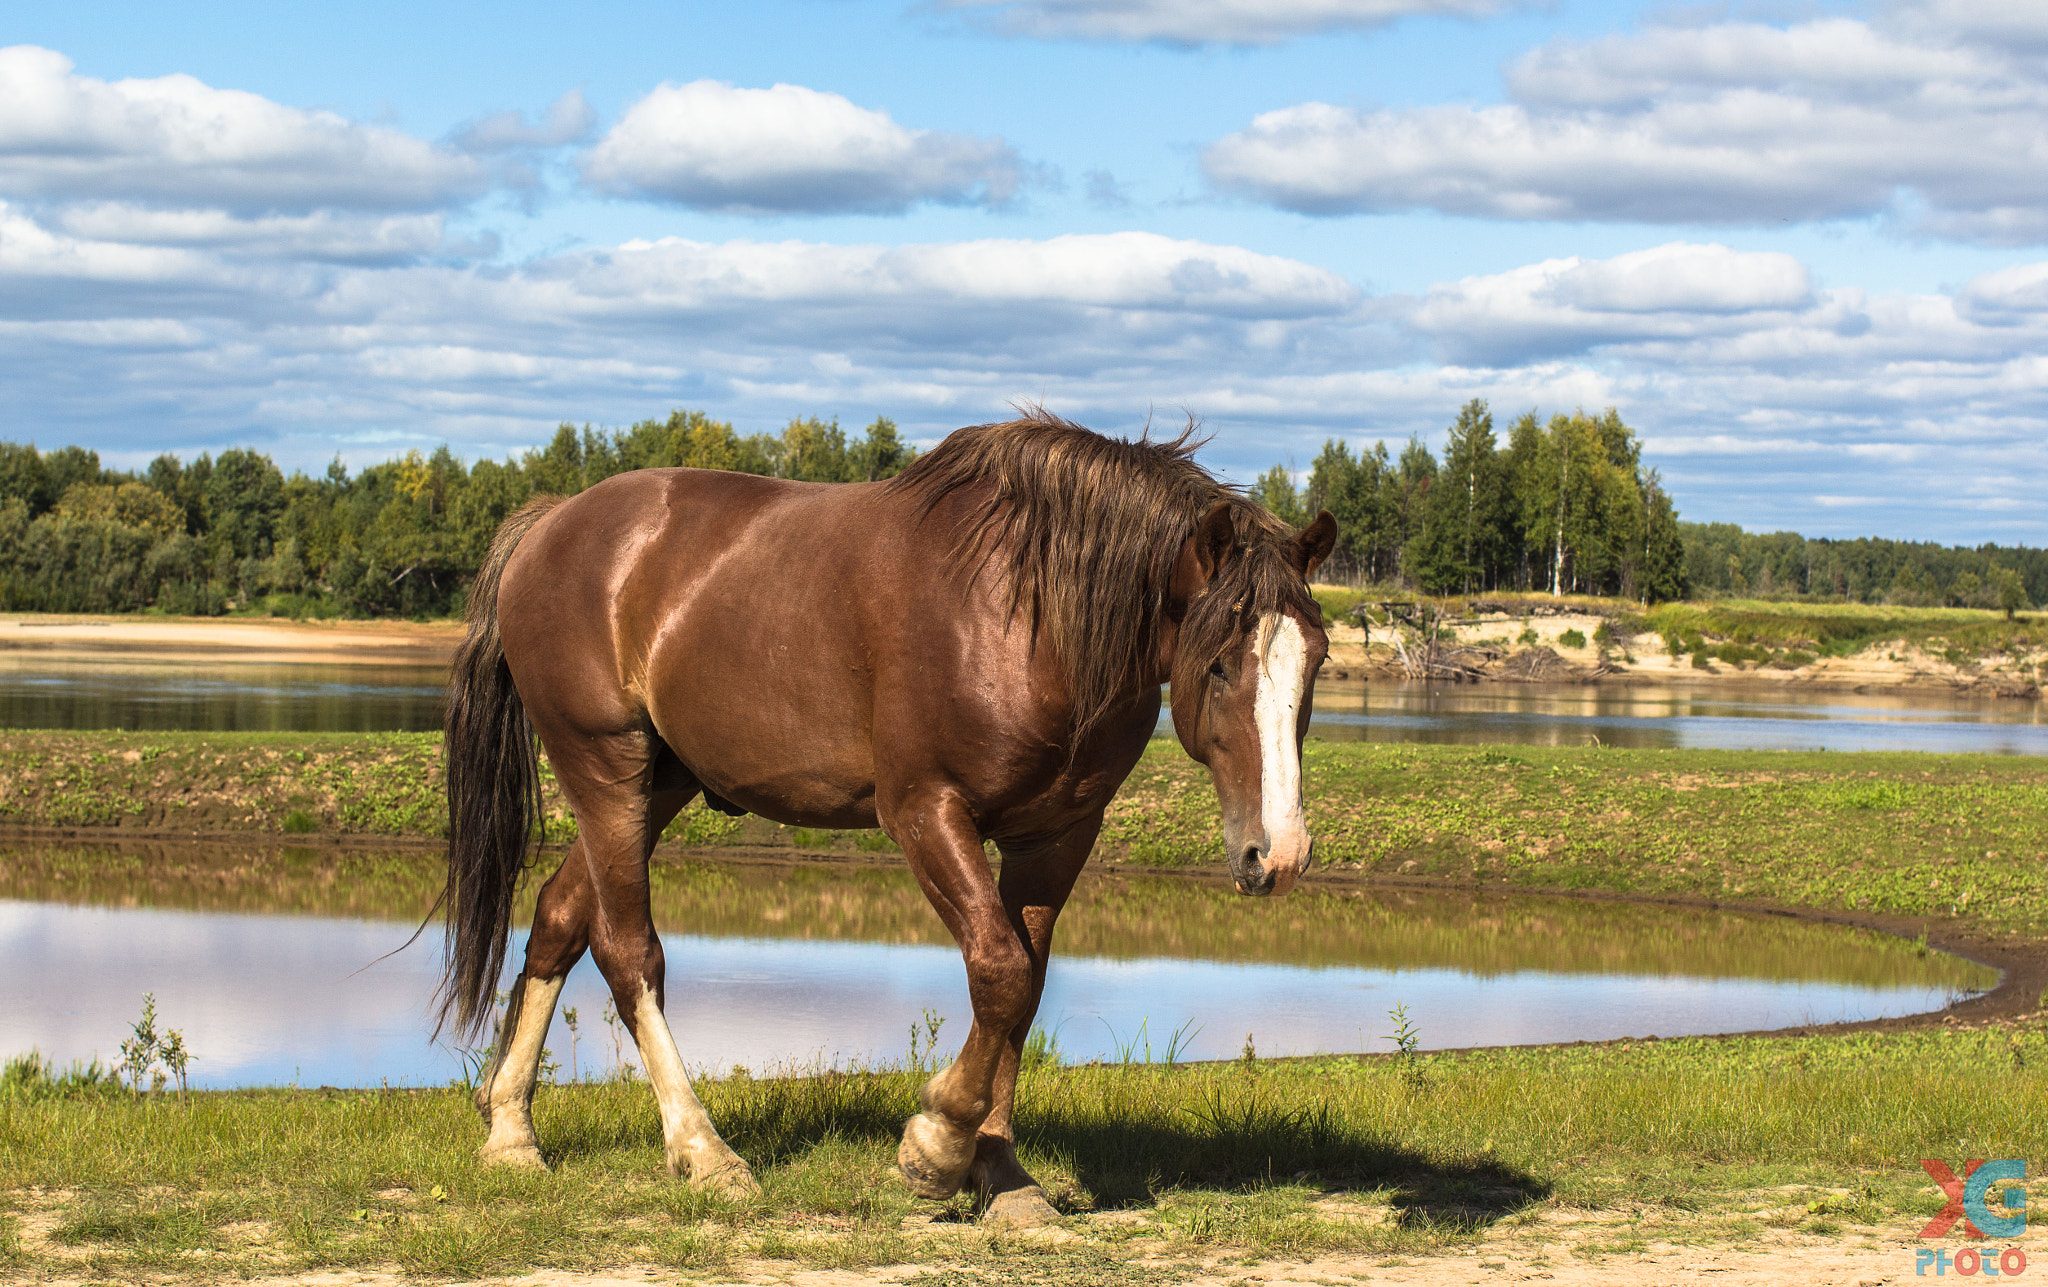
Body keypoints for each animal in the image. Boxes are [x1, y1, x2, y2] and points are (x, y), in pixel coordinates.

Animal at [446, 411, 1335, 1229]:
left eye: (1318, 659)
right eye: (1218, 663)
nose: (1279, 852)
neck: (1030, 615)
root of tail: (554, 523)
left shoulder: (1055, 834)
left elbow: (1022, 988)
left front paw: (1002, 1174)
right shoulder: (924, 810)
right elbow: (1000, 971)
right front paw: (935, 1147)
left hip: (659, 783)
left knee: (559, 919)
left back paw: (511, 1131)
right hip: (605, 770)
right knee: (629, 951)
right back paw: (705, 1151)